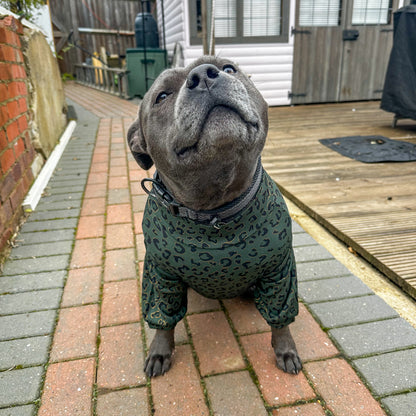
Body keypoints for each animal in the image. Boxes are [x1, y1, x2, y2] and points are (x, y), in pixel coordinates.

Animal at [127, 57, 302, 378]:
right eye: (162, 96)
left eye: (229, 68)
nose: (204, 76)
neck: (214, 211)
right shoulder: (161, 276)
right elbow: (162, 319)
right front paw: (160, 351)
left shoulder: (279, 271)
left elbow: (281, 317)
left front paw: (285, 349)